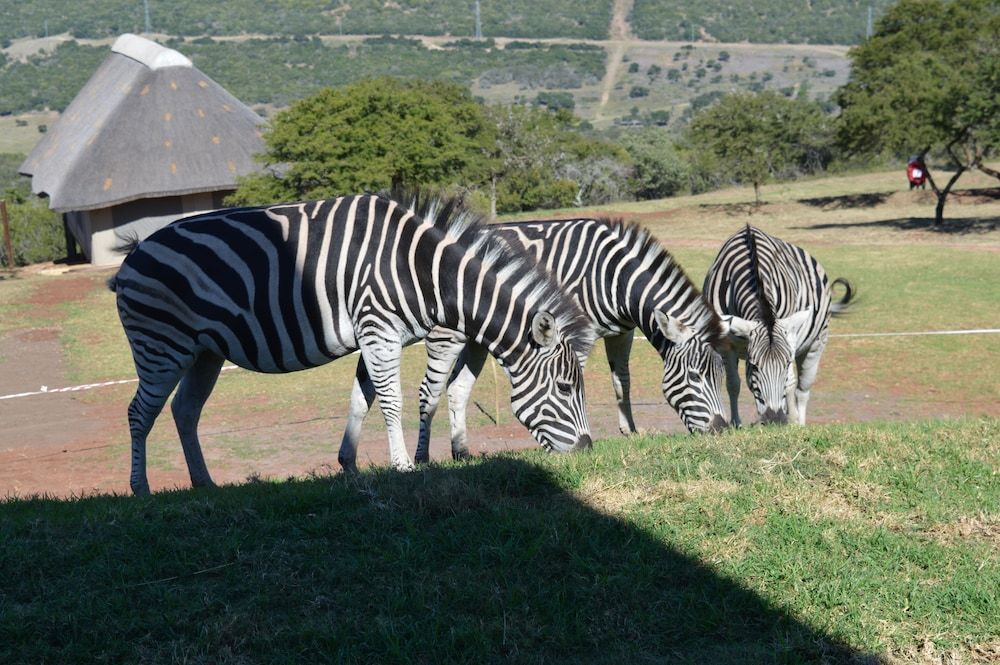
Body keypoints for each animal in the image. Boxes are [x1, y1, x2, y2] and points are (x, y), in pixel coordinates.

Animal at [107, 192, 595, 495]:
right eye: (566, 388)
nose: (589, 451)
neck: (422, 272)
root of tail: (134, 253)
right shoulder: (379, 329)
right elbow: (393, 400)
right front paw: (404, 466)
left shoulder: (371, 335)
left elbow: (362, 400)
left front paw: (349, 463)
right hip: (161, 344)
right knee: (138, 412)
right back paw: (141, 489)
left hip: (204, 351)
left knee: (184, 411)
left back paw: (204, 484)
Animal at [338, 216, 728, 469]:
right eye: (695, 377)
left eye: (720, 377)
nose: (722, 431)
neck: (613, 275)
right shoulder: (576, 332)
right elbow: (572, 383)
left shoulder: (622, 331)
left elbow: (623, 382)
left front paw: (630, 432)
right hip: (446, 336)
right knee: (428, 391)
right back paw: (421, 458)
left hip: (476, 340)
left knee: (455, 390)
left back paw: (459, 453)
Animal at [702, 224, 853, 426]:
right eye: (754, 366)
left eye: (786, 363)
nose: (774, 419)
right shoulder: (726, 345)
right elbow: (733, 384)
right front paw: (736, 424)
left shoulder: (789, 337)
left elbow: (789, 383)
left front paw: (792, 420)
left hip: (816, 344)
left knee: (802, 389)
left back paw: (799, 423)